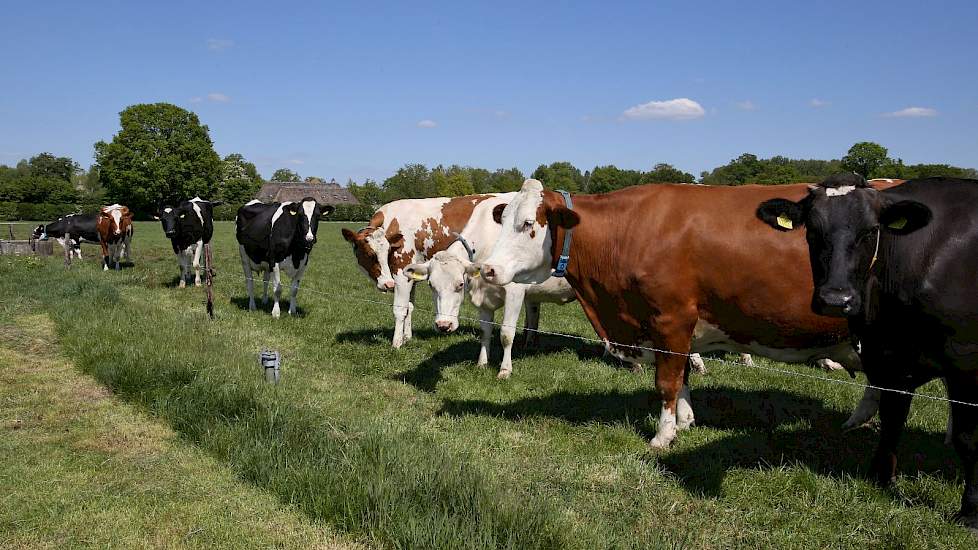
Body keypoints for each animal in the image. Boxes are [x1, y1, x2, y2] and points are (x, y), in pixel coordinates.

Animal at [476, 180, 904, 448]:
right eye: (503, 220)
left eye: (527, 224)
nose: (488, 269)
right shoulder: (673, 328)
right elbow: (681, 377)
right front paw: (685, 421)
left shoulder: (671, 319)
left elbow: (666, 381)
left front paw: (663, 435)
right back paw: (857, 421)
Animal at [756, 175, 976, 532]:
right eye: (812, 230)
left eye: (871, 231)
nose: (836, 300)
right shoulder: (888, 355)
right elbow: (892, 419)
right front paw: (880, 479)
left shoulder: (965, 360)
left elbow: (968, 438)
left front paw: (970, 511)